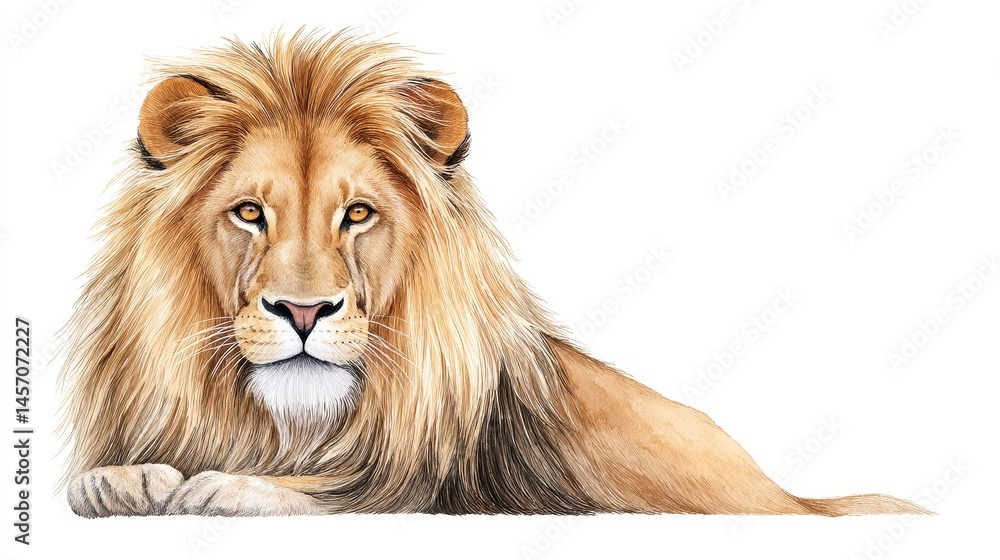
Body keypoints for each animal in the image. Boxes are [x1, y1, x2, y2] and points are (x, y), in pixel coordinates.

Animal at [58, 29, 927, 517]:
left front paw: (225, 487)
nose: (303, 312)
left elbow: (338, 491)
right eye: (249, 213)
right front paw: (116, 483)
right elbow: (94, 480)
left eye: (358, 214)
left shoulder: (425, 486)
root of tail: (787, 493)